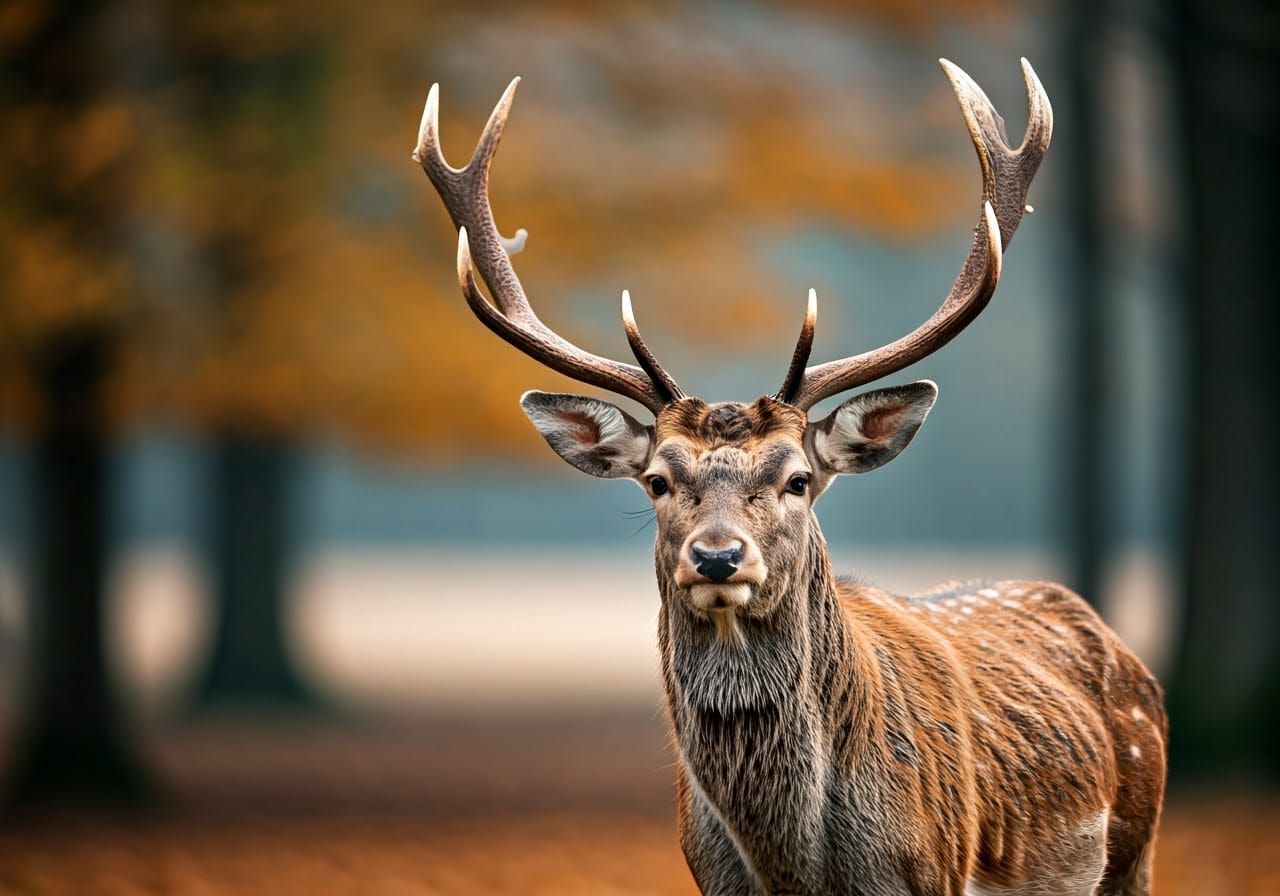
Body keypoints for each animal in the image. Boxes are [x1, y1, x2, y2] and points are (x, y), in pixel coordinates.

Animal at [412, 58, 1167, 896]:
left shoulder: (931, 875)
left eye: (799, 478)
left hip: (1135, 849)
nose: (716, 556)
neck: (798, 870)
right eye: (657, 481)